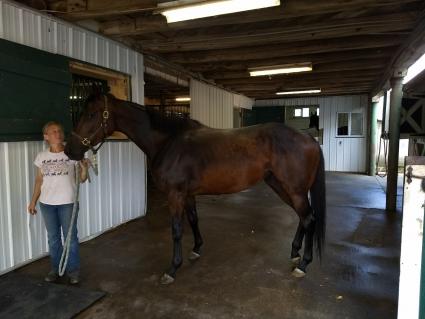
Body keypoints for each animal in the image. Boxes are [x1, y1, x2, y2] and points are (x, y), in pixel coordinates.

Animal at [64, 92, 326, 284]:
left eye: (91, 114)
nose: (70, 150)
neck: (168, 142)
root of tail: (309, 139)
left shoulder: (175, 195)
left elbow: (177, 229)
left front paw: (172, 269)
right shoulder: (187, 195)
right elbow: (193, 220)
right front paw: (196, 249)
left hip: (293, 190)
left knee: (309, 218)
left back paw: (303, 264)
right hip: (282, 186)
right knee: (303, 218)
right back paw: (294, 254)